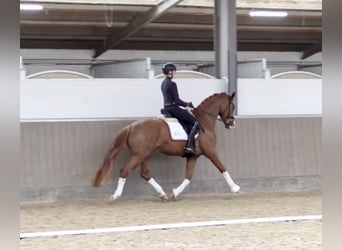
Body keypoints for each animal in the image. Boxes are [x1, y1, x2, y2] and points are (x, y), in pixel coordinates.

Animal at [92, 92, 239, 201]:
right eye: (232, 105)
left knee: (145, 173)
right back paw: (115, 195)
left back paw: (163, 194)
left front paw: (175, 192)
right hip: (139, 155)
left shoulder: (193, 156)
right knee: (125, 170)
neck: (204, 121)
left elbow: (188, 177)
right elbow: (222, 168)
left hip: (144, 154)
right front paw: (235, 187)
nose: (232, 124)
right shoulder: (210, 151)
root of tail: (132, 126)